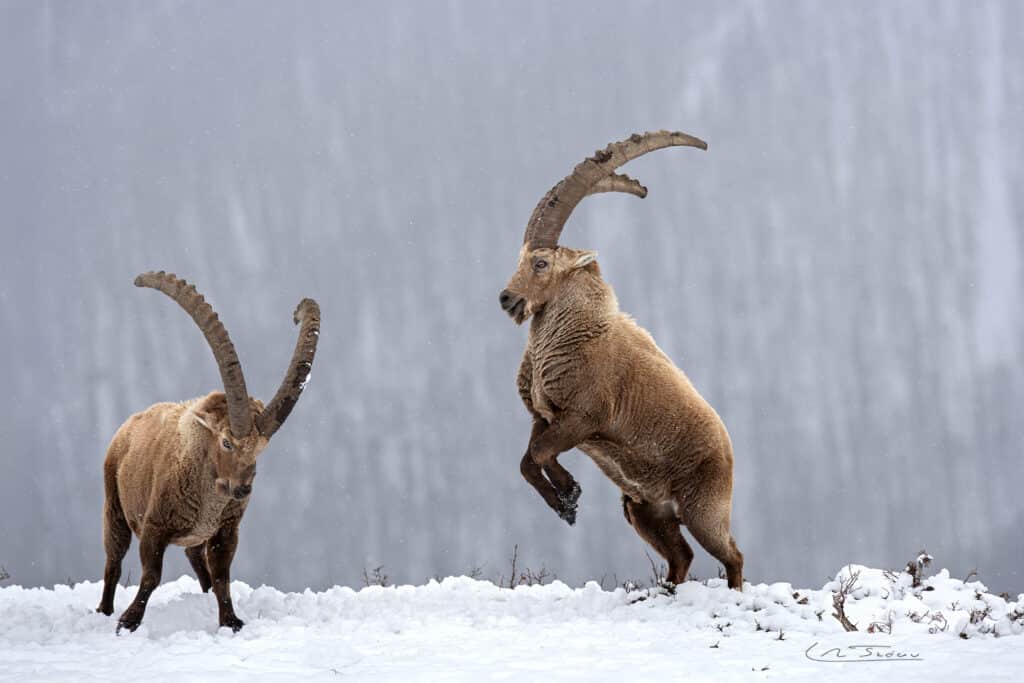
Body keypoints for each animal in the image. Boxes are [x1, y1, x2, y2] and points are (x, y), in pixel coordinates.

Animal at [96, 271, 321, 632]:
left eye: (261, 447)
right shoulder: (154, 526)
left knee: (195, 559)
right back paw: (104, 611)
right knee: (113, 560)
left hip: (194, 536)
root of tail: (129, 424)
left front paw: (231, 621)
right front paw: (128, 622)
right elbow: (151, 576)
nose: (242, 490)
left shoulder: (225, 530)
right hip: (115, 507)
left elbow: (222, 577)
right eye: (226, 441)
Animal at [499, 131, 744, 589]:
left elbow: (539, 453)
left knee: (731, 554)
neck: (575, 332)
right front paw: (566, 503)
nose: (507, 299)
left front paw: (570, 494)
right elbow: (527, 461)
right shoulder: (544, 415)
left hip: (703, 506)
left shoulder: (585, 417)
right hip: (643, 509)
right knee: (681, 556)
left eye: (541, 262)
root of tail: (728, 449)